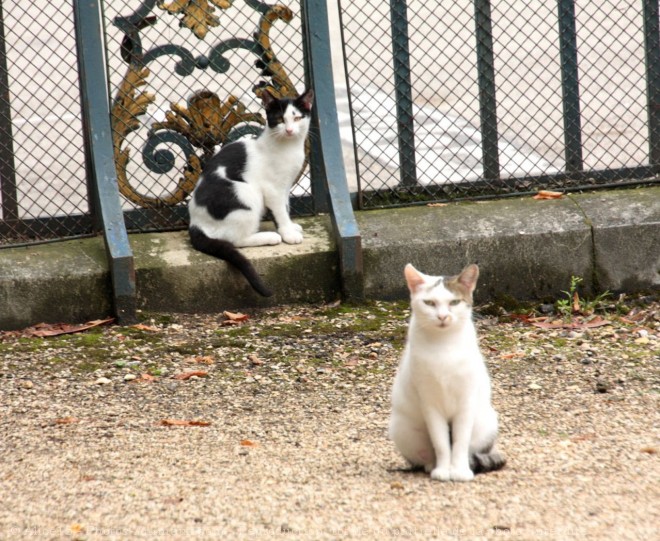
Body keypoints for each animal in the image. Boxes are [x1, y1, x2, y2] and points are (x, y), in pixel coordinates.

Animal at [187, 90, 314, 298]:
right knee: (235, 241)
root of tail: (195, 223)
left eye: (296, 118)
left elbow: (286, 207)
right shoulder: (272, 189)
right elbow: (280, 211)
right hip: (246, 192)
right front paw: (287, 233)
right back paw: (270, 237)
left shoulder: (285, 186)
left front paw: (290, 226)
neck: (286, 147)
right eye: (280, 119)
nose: (289, 130)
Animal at [386, 264, 506, 478]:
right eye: (429, 303)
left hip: (487, 421)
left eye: (454, 302)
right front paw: (443, 470)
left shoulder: (466, 400)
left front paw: (459, 471)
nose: (442, 316)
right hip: (403, 428)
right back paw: (432, 466)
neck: (444, 345)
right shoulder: (429, 402)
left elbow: (460, 441)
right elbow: (441, 442)